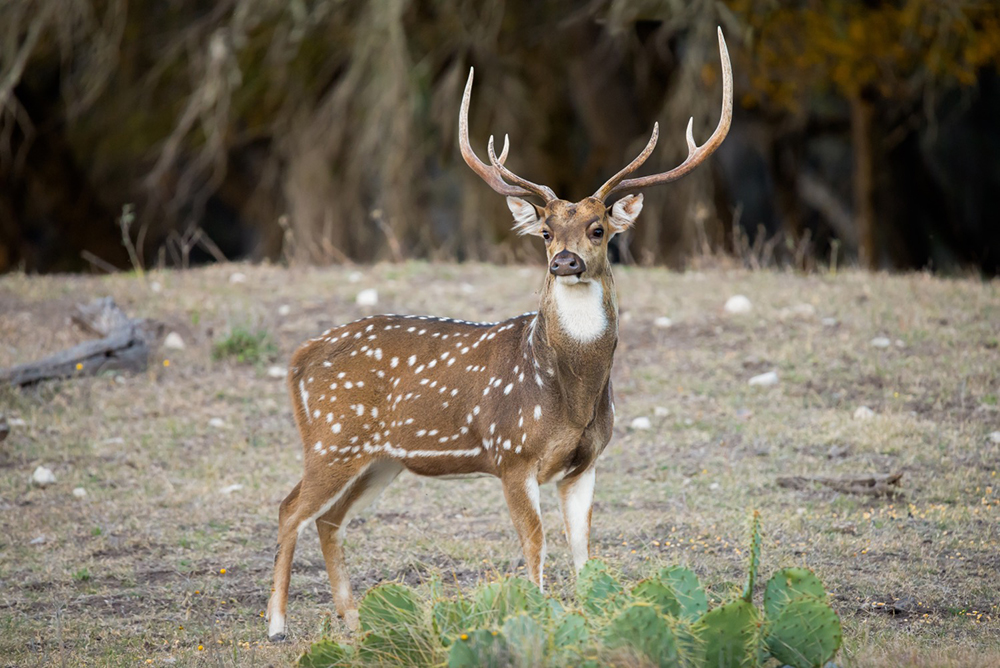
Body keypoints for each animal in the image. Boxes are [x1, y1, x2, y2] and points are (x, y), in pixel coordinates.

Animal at [266, 27, 736, 640]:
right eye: (545, 231)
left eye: (598, 229)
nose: (564, 262)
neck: (570, 392)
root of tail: (302, 355)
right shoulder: (511, 454)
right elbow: (535, 547)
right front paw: (535, 618)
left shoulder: (587, 461)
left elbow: (583, 551)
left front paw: (590, 620)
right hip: (333, 438)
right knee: (290, 507)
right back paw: (277, 625)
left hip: (380, 458)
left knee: (330, 519)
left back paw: (354, 622)